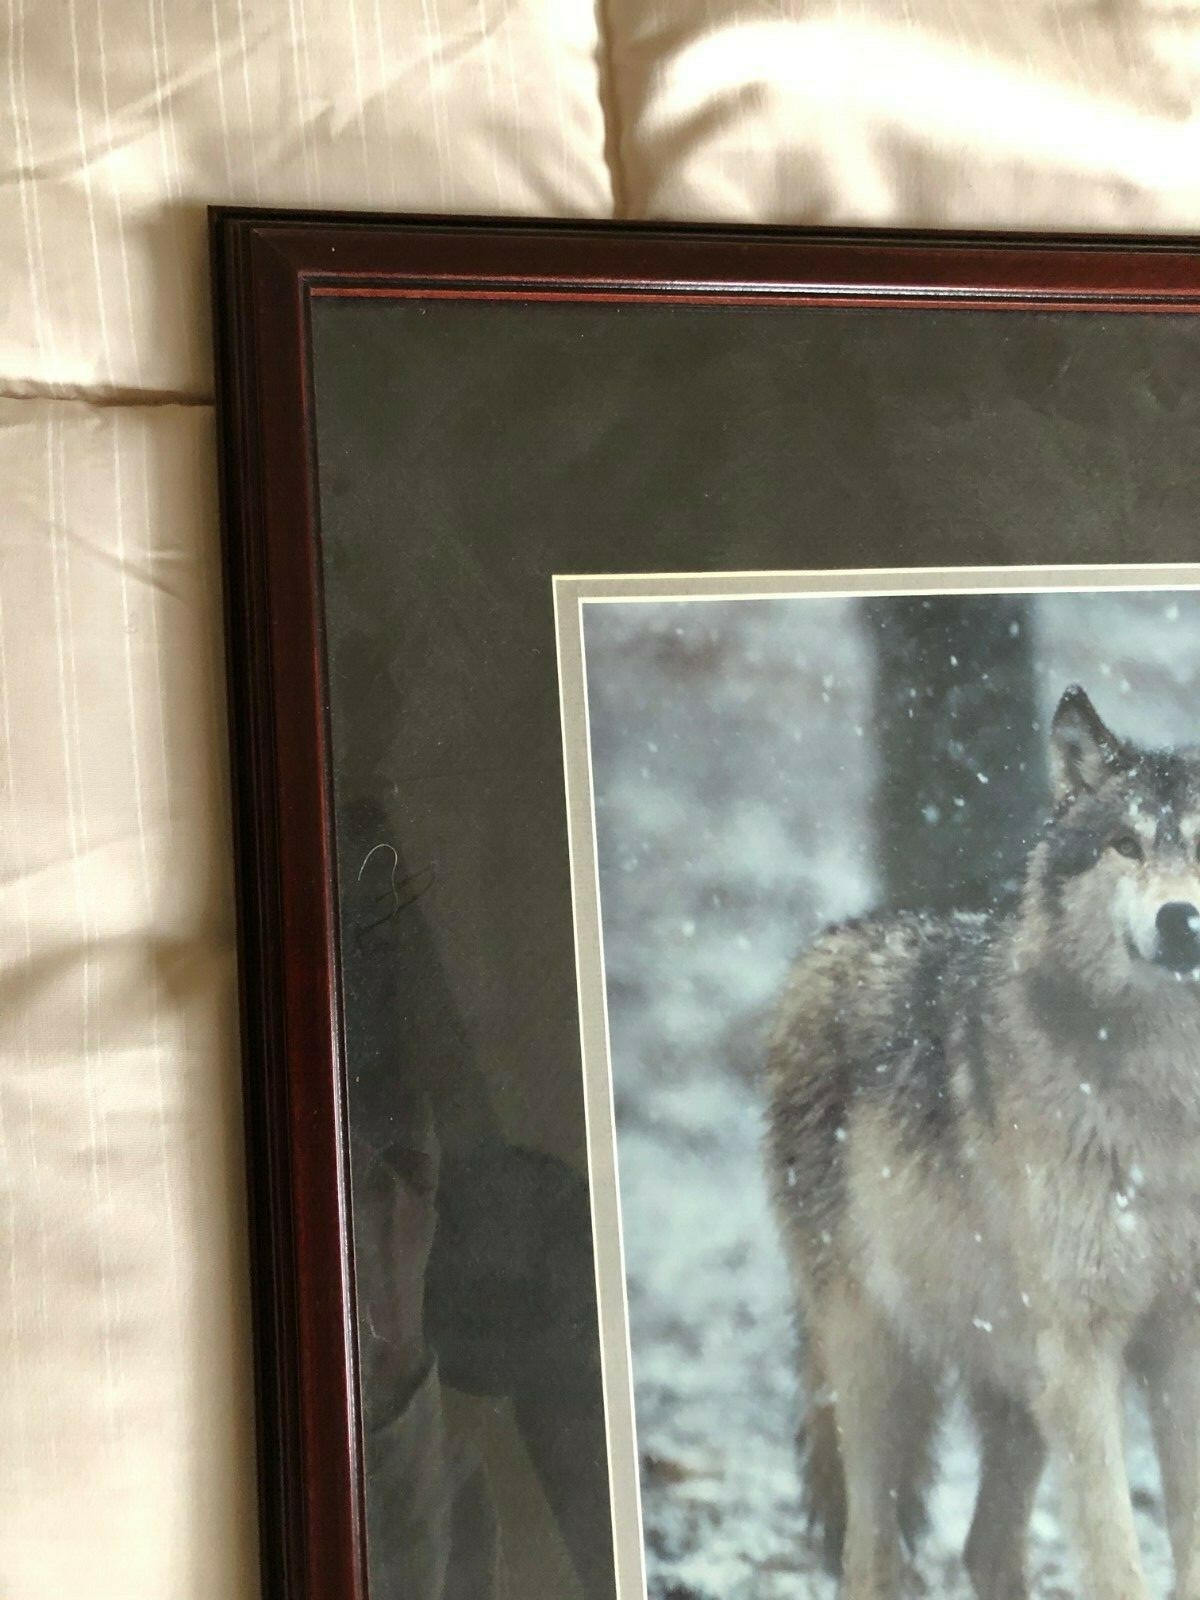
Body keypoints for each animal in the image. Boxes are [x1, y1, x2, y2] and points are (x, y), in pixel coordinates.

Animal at [766, 686, 1200, 1600]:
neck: (1167, 1102)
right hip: (879, 1364)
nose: (1182, 921)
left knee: (984, 1547)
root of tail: (832, 941)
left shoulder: (1180, 1341)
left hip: (1014, 1377)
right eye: (1125, 844)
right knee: (872, 1552)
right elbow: (1117, 1555)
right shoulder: (1082, 1349)